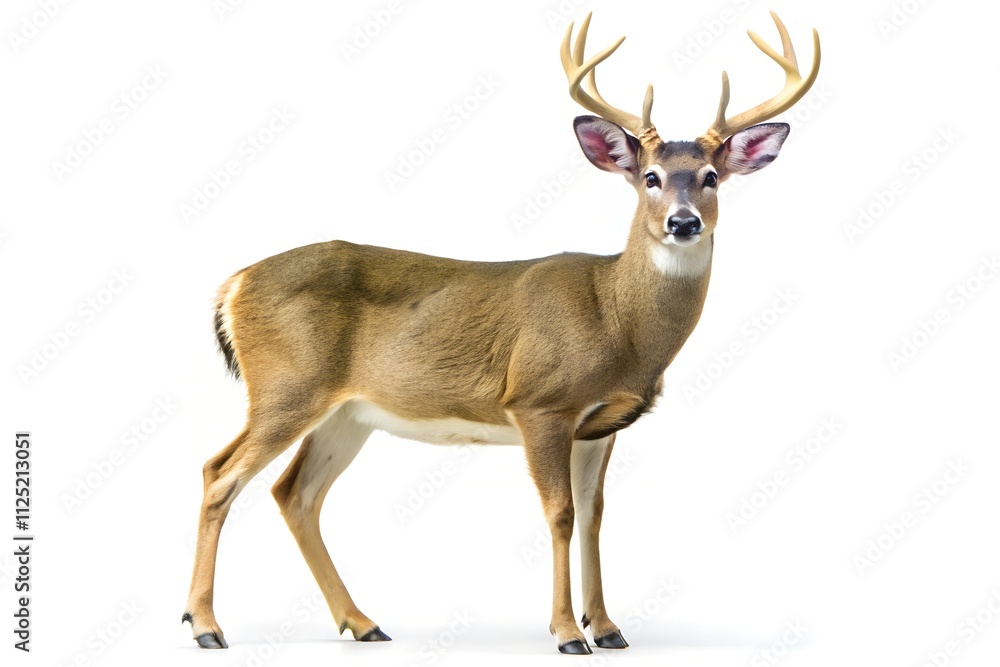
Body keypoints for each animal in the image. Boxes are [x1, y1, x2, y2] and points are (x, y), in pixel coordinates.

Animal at [182, 11, 820, 655]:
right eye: (650, 177)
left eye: (711, 176)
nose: (683, 223)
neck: (615, 319)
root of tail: (233, 284)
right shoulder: (540, 402)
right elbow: (560, 514)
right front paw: (567, 632)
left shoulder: (601, 425)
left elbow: (595, 515)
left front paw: (608, 627)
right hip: (287, 386)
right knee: (220, 473)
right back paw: (206, 625)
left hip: (348, 412)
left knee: (295, 493)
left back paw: (363, 623)